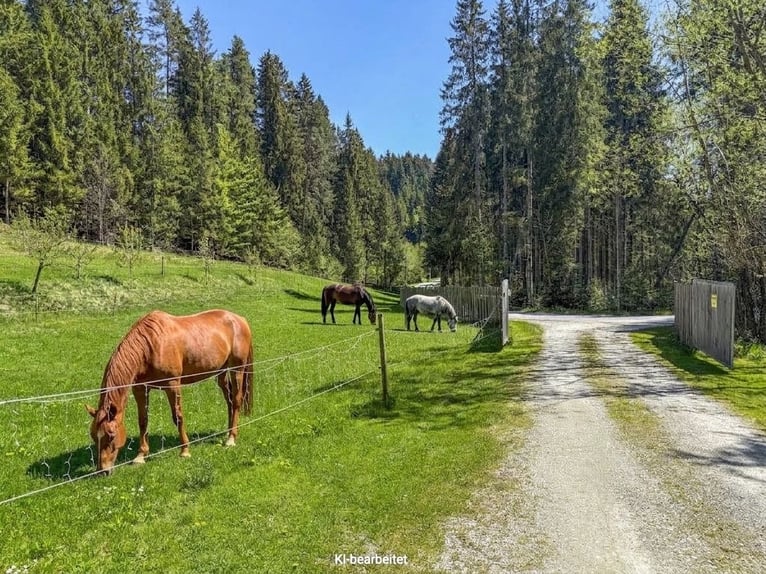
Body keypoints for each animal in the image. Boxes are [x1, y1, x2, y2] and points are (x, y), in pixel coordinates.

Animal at [85, 309, 253, 475]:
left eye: (111, 435)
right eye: (93, 435)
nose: (102, 471)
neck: (151, 345)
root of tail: (240, 319)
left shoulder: (172, 385)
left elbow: (177, 417)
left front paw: (185, 451)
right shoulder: (140, 388)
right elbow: (143, 420)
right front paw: (140, 456)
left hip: (237, 370)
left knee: (236, 400)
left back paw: (231, 438)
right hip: (221, 372)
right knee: (229, 399)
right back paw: (228, 431)